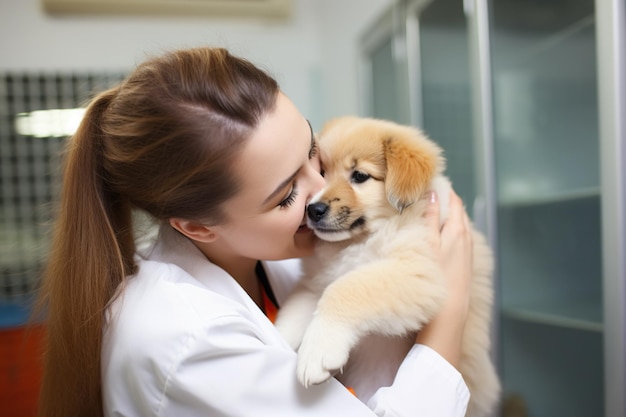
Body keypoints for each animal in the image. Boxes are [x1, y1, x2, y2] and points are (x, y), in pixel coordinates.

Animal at [276, 114, 500, 416]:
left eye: (359, 176)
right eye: (322, 172)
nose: (313, 209)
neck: (361, 240)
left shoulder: (418, 272)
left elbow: (345, 289)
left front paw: (318, 350)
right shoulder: (316, 283)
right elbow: (294, 313)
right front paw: (277, 338)